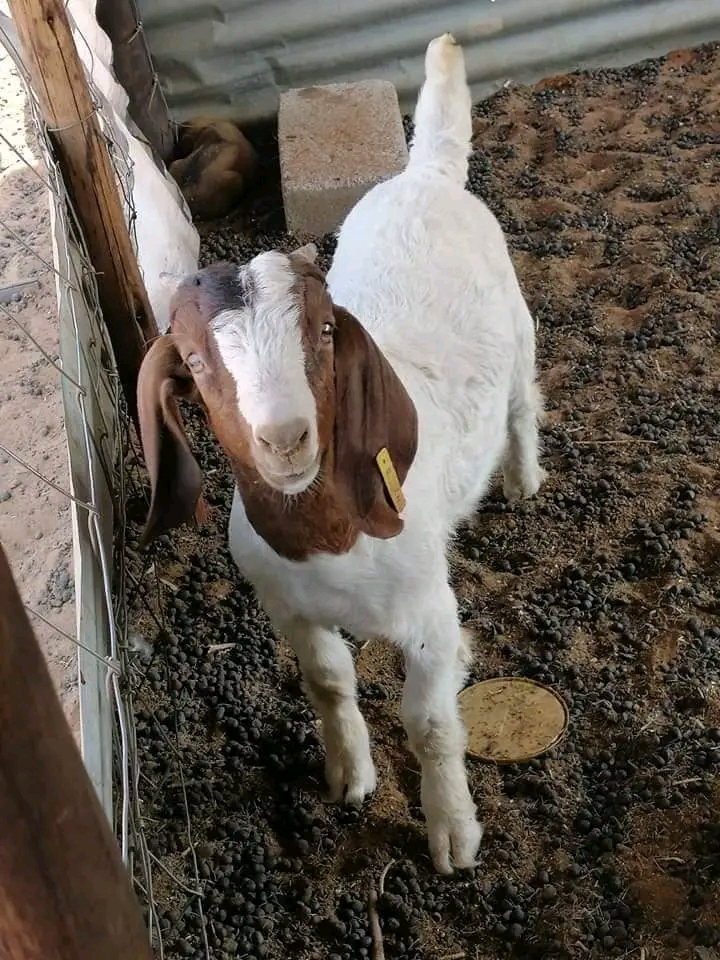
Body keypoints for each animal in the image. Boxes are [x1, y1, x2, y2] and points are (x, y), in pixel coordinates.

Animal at [137, 34, 544, 874]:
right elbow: (328, 684)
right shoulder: (290, 610)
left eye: (325, 332)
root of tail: (425, 172)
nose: (286, 438)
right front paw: (348, 777)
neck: (326, 542)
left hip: (519, 328)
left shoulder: (429, 615)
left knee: (525, 404)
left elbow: (431, 723)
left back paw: (524, 478)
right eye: (191, 362)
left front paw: (452, 832)